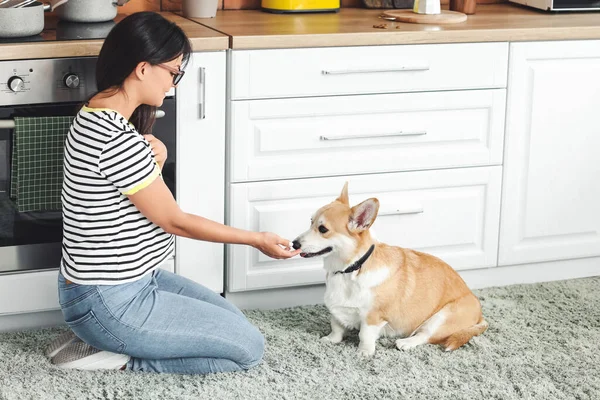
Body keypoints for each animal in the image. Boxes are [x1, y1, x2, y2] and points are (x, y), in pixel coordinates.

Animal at [292, 184, 488, 356]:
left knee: (425, 335)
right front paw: (331, 339)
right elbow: (336, 327)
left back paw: (406, 342)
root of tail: (480, 315)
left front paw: (364, 352)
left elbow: (365, 335)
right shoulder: (337, 311)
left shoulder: (373, 317)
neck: (350, 269)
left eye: (323, 229)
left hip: (442, 317)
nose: (294, 243)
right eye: (311, 221)